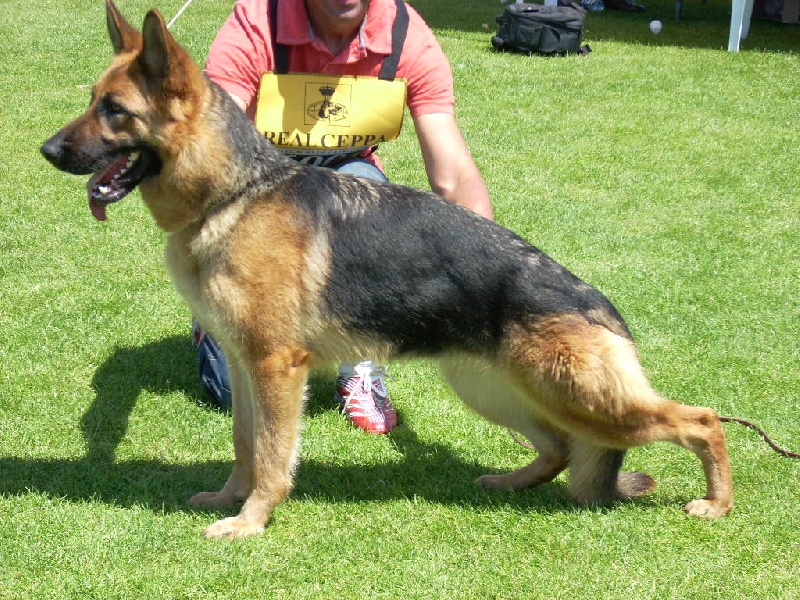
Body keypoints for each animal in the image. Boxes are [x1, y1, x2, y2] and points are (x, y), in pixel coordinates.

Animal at [42, 1, 732, 540]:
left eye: (115, 110)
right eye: (92, 103)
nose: (47, 150)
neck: (234, 192)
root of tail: (600, 305)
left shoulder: (274, 367)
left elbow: (272, 456)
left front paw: (252, 520)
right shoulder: (243, 365)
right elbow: (244, 444)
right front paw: (229, 498)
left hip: (577, 394)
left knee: (701, 421)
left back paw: (716, 502)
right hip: (493, 388)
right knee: (561, 448)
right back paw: (509, 481)